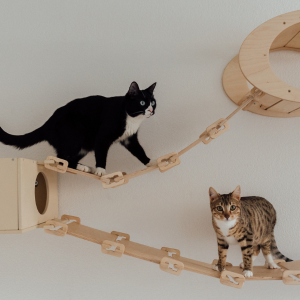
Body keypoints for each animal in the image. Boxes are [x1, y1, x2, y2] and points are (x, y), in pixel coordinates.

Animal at [0, 82, 158, 176]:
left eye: (153, 102)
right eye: (142, 102)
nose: (151, 110)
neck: (130, 117)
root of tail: (47, 123)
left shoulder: (130, 139)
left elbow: (139, 150)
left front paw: (150, 162)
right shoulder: (102, 136)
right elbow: (101, 153)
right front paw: (101, 171)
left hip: (83, 145)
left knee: (66, 158)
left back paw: (83, 167)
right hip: (76, 135)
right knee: (61, 158)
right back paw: (84, 168)